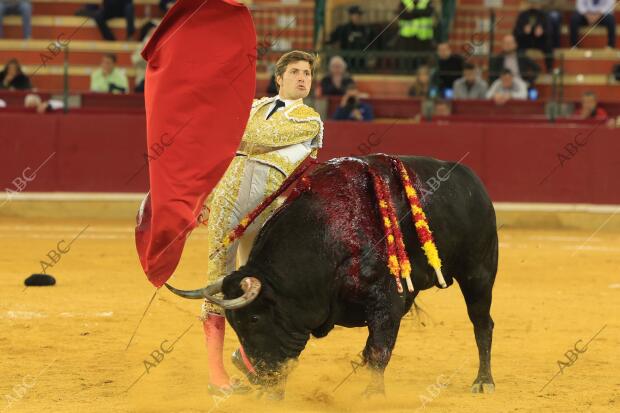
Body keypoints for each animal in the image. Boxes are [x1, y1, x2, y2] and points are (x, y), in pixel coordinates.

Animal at [168, 154, 498, 396]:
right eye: (235, 325)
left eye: (255, 318)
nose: (261, 378)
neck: (326, 234)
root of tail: (474, 182)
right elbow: (375, 343)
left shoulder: (385, 297)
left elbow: (380, 347)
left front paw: (373, 396)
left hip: (478, 274)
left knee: (482, 324)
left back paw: (483, 382)